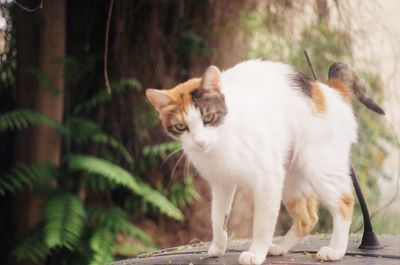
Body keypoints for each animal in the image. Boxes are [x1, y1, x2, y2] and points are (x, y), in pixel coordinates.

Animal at [145, 59, 382, 264]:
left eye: (208, 118)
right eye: (181, 127)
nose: (200, 142)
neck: (222, 140)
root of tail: (328, 90)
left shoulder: (267, 180)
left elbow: (262, 223)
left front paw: (256, 253)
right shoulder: (221, 184)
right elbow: (217, 218)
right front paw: (218, 247)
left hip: (319, 167)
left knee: (344, 202)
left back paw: (335, 251)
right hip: (291, 179)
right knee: (308, 218)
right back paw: (280, 247)